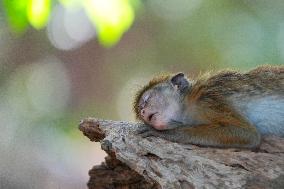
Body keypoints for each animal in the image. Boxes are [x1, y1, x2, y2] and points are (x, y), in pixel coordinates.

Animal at [133, 65, 284, 148]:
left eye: (146, 100)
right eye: (141, 112)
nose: (143, 111)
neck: (187, 103)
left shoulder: (209, 100)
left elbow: (247, 133)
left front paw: (163, 133)